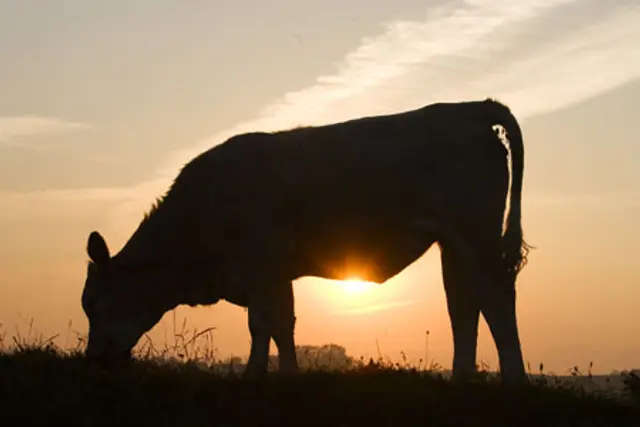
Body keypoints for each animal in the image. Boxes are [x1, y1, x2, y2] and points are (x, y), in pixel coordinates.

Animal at [81, 98, 528, 384]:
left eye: (96, 304)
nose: (93, 361)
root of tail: (471, 108)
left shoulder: (262, 264)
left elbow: (262, 322)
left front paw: (253, 375)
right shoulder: (278, 273)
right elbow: (284, 324)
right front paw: (288, 375)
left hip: (476, 234)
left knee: (495, 299)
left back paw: (516, 380)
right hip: (453, 244)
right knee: (464, 304)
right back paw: (462, 378)